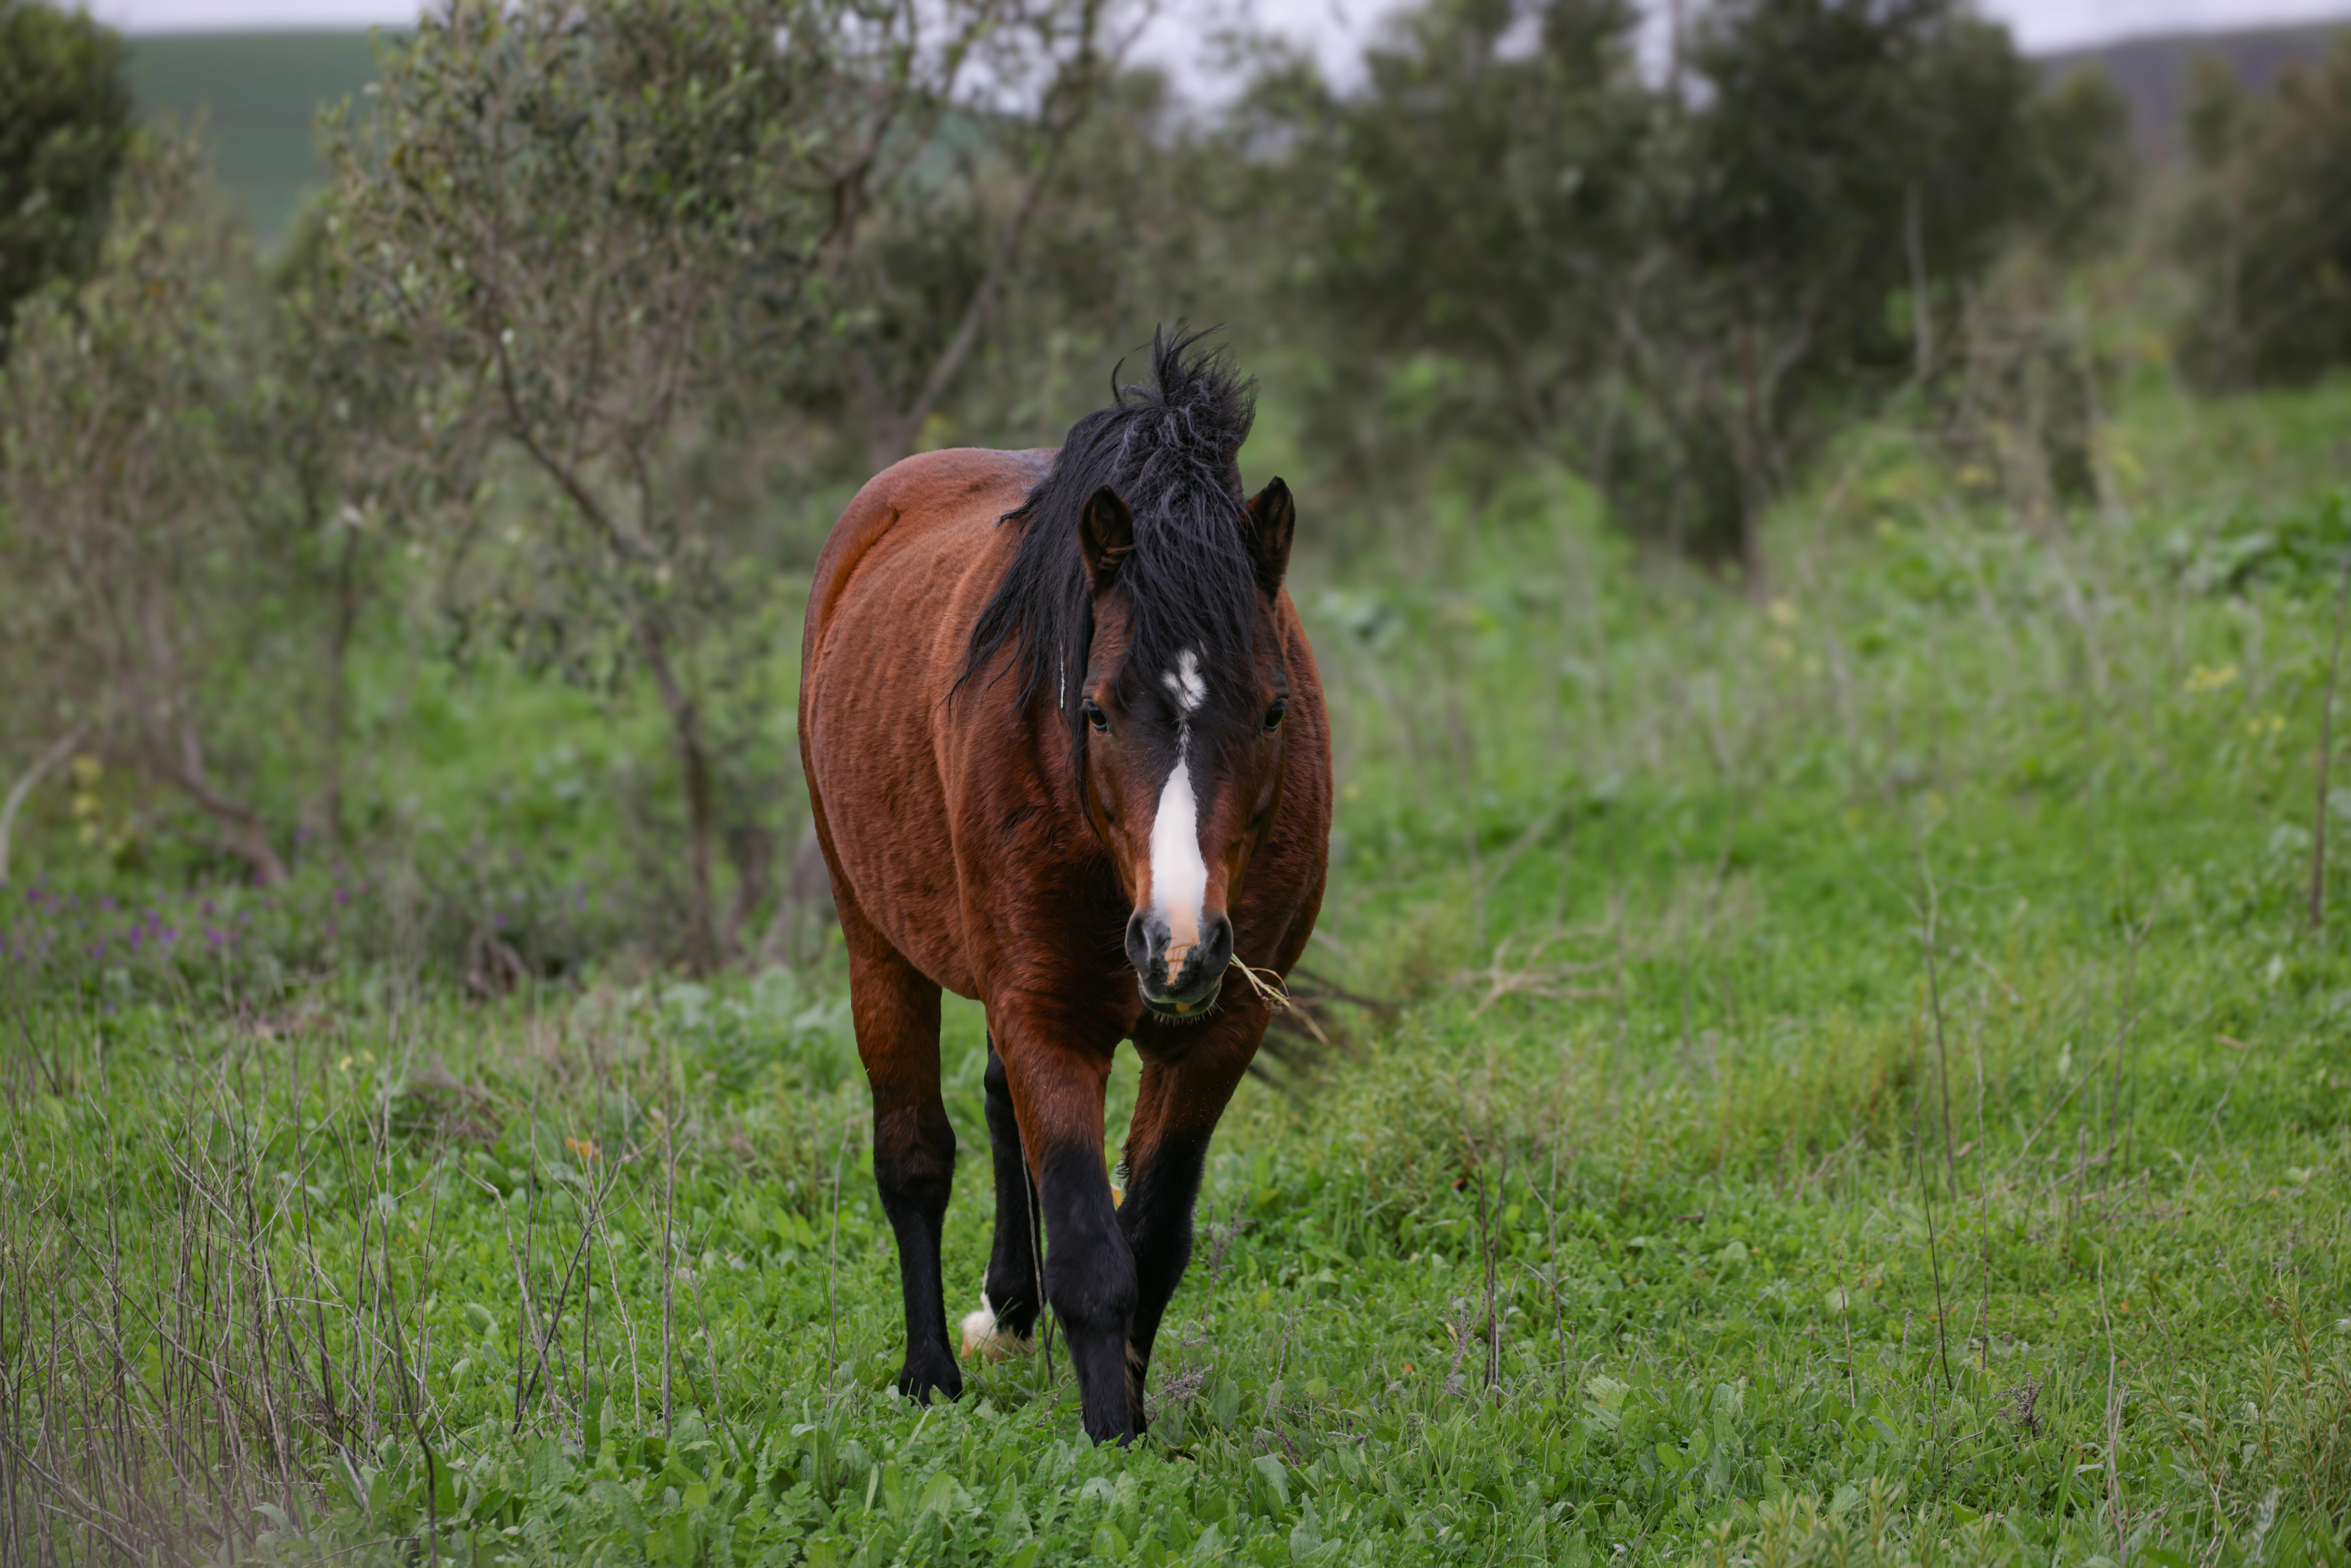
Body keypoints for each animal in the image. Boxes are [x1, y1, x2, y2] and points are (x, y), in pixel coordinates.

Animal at [796, 332, 1332, 1442]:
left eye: (1272, 711)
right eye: (1094, 710)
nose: (1178, 945)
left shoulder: (1219, 1031)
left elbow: (1152, 1239)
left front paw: (1130, 1411)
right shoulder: (1046, 1014)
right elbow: (1093, 1252)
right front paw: (1111, 1440)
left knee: (1000, 1107)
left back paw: (1007, 1307)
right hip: (875, 939)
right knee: (914, 1156)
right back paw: (929, 1372)